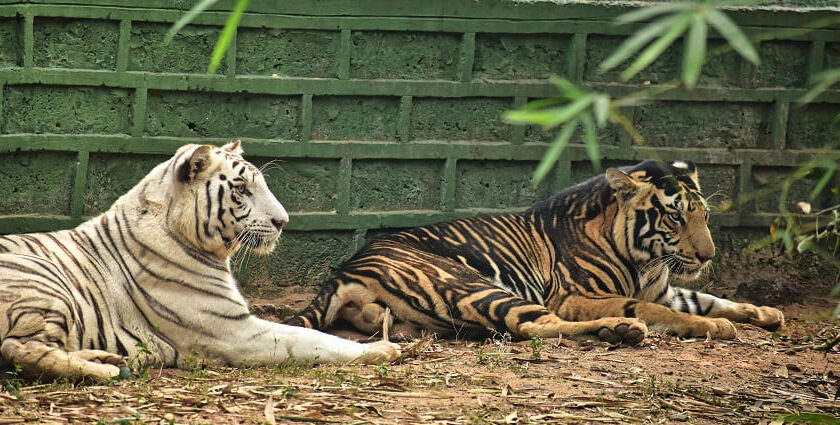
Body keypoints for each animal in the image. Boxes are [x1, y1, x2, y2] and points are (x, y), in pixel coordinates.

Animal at [0, 142, 398, 378]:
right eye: (242, 189)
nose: (283, 222)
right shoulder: (235, 333)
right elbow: (312, 339)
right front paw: (381, 349)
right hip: (42, 279)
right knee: (17, 348)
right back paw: (110, 371)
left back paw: (106, 360)